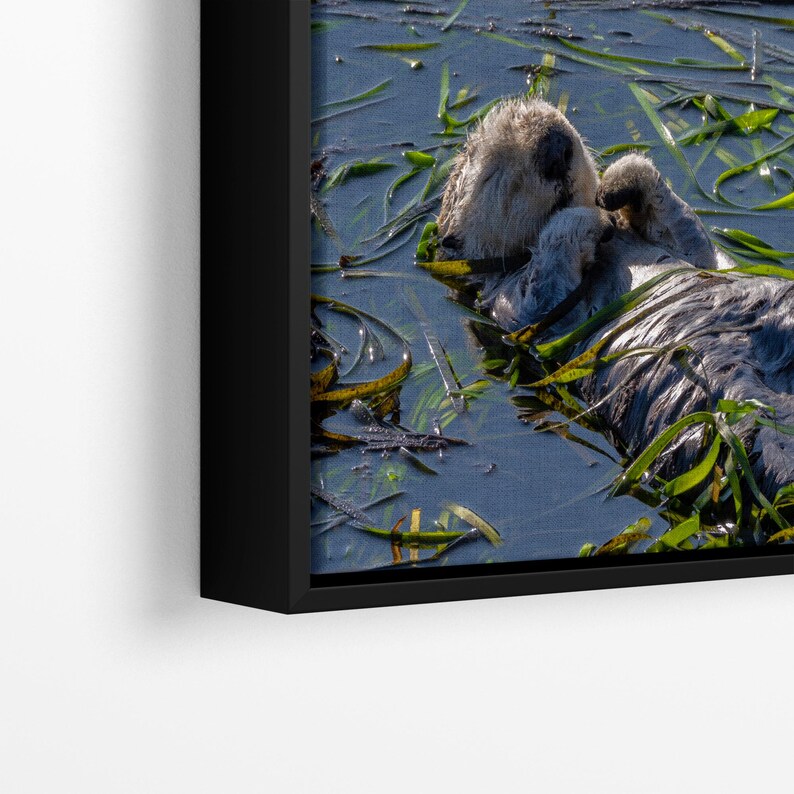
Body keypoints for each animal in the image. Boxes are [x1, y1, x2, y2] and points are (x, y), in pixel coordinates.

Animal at [437, 97, 794, 495]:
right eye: (492, 174)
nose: (555, 148)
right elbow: (545, 291)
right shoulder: (513, 304)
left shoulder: (695, 253)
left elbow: (688, 233)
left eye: (560, 122)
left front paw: (616, 185)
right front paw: (589, 218)